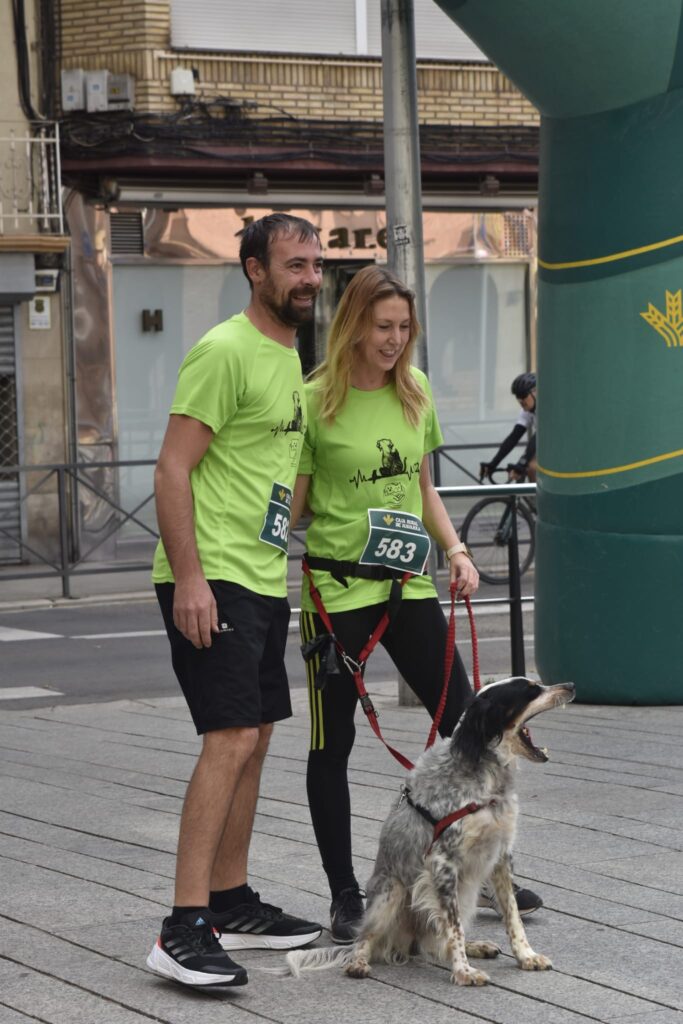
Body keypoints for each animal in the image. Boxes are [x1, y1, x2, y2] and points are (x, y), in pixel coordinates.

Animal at [286, 677, 575, 987]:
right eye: (530, 690)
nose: (570, 685)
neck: (486, 780)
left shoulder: (500, 857)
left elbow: (511, 916)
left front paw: (526, 956)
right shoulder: (443, 862)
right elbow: (455, 927)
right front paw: (463, 972)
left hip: (465, 893)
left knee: (437, 940)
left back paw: (477, 946)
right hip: (392, 893)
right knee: (366, 938)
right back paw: (358, 963)